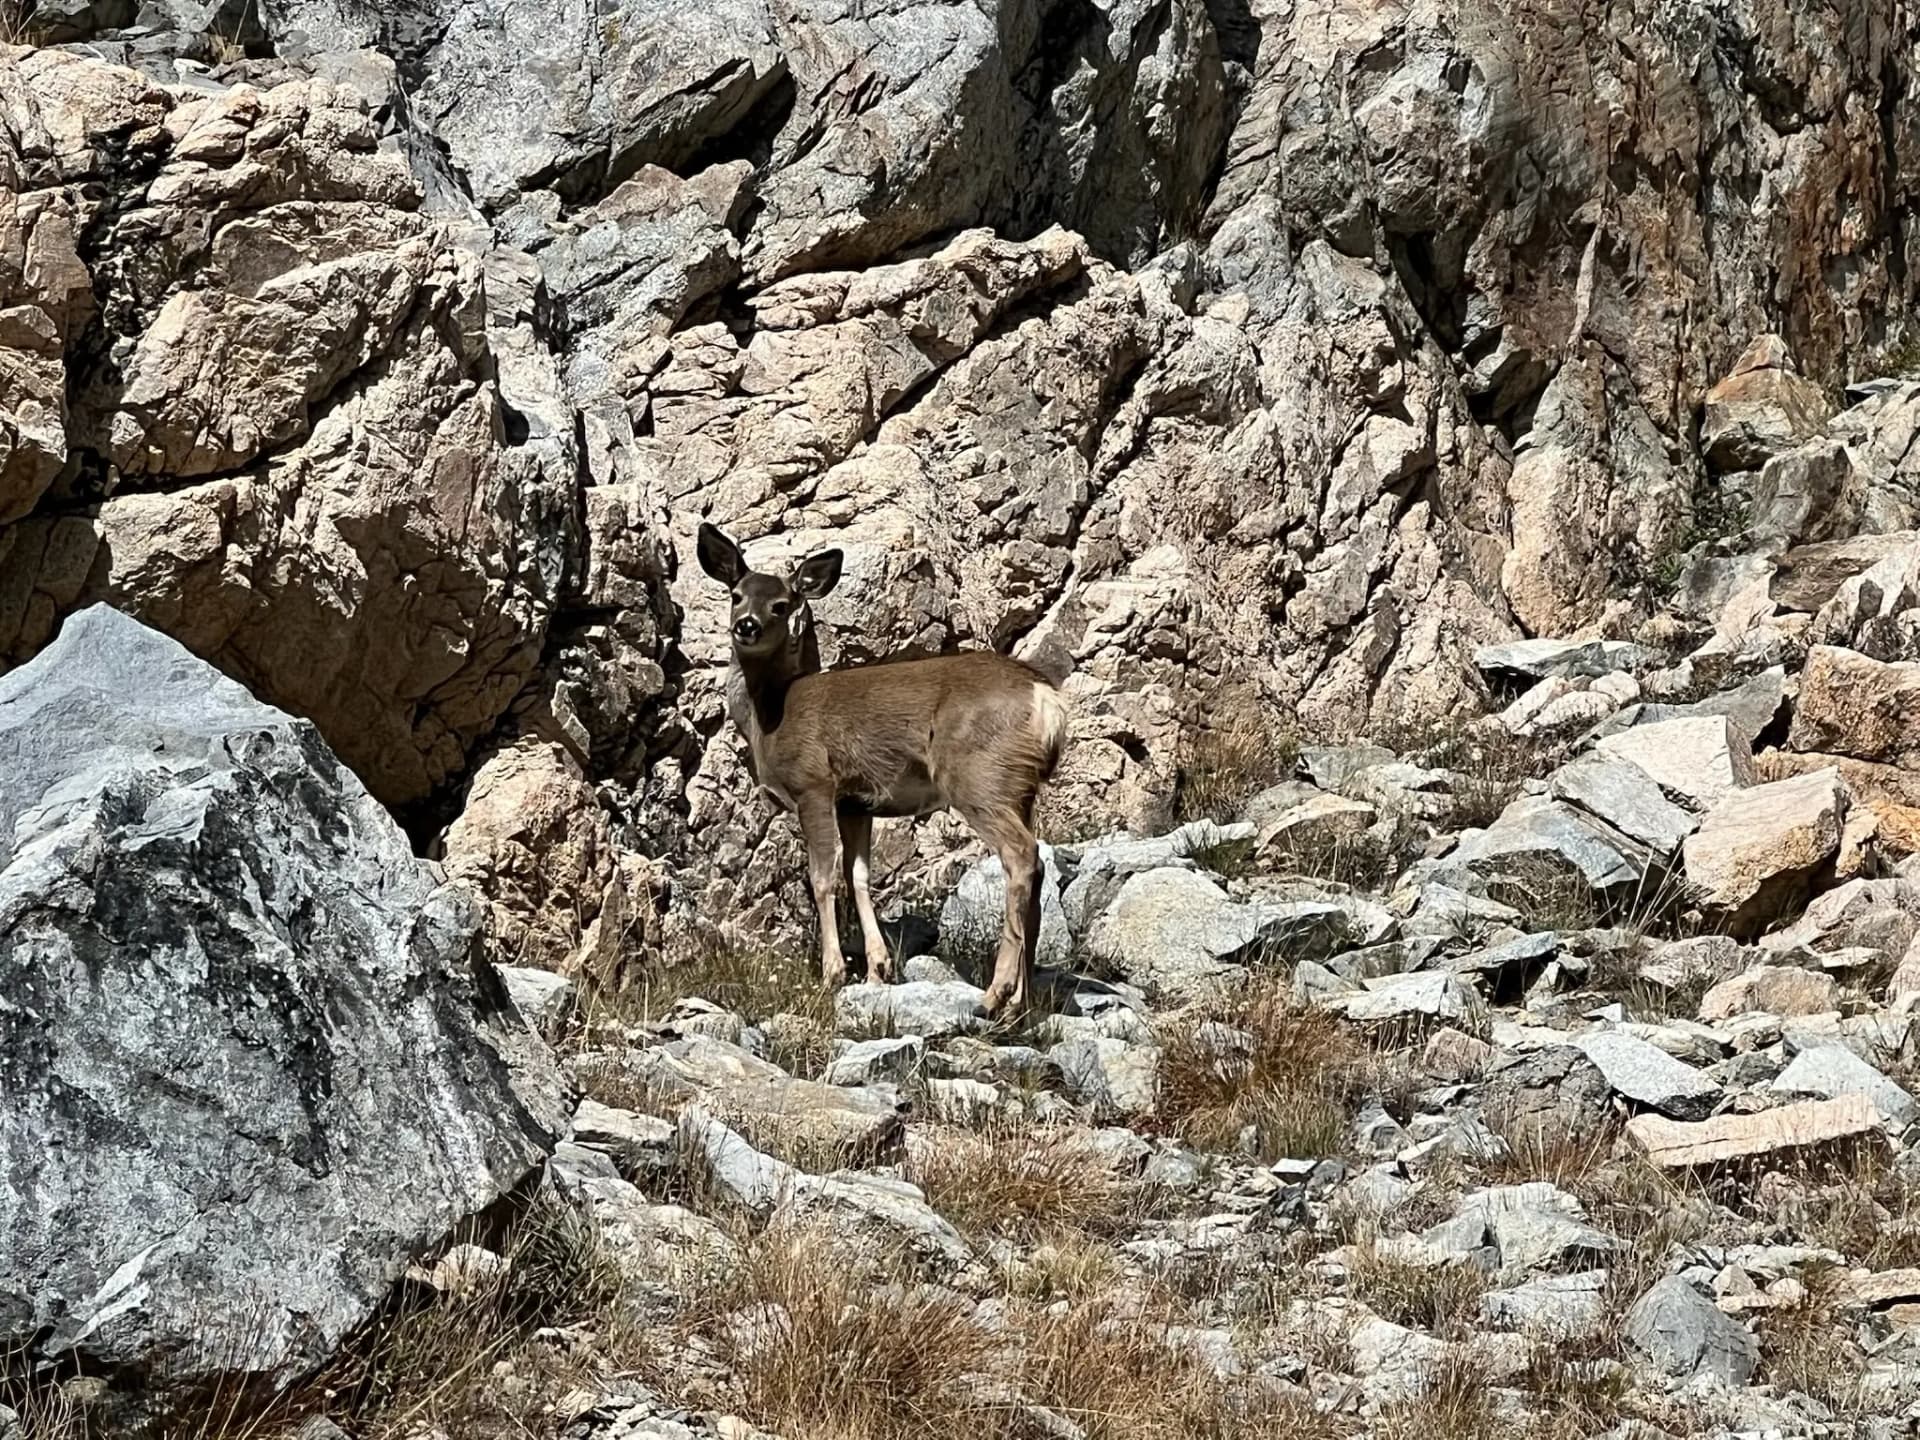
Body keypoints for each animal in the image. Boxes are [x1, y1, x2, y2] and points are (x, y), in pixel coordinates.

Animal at [696, 522, 1070, 1017]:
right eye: (736, 594)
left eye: (781, 604)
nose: (746, 625)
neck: (772, 714)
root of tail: (1045, 699)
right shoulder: (857, 802)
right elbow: (858, 876)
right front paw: (877, 968)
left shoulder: (814, 784)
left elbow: (822, 877)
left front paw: (832, 973)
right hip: (1019, 787)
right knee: (1037, 864)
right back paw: (1019, 1004)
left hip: (977, 777)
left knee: (1021, 855)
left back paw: (996, 992)